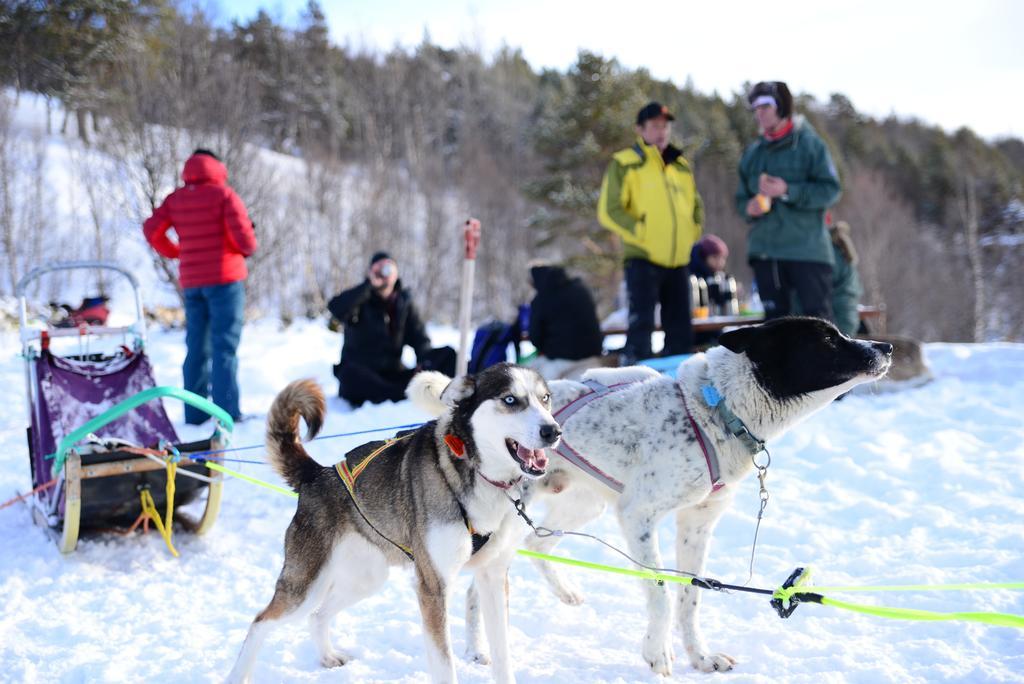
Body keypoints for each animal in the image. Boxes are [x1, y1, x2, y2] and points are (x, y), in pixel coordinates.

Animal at [227, 360, 561, 679]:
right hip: (305, 586)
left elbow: (502, 654)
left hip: (366, 579)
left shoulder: (493, 576)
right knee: (260, 621)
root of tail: (316, 474)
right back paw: (238, 675)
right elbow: (445, 666)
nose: (553, 431)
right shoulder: (433, 587)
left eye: (545, 399)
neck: (480, 475)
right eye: (510, 399)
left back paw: (328, 657)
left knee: (318, 614)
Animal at [452, 317, 892, 675]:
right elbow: (661, 590)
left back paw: (564, 591)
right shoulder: (639, 517)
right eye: (828, 338)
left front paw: (700, 656)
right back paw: (477, 649)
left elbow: (689, 596)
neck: (716, 409)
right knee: (479, 584)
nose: (886, 346)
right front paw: (656, 652)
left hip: (584, 504)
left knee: (534, 543)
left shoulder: (697, 522)